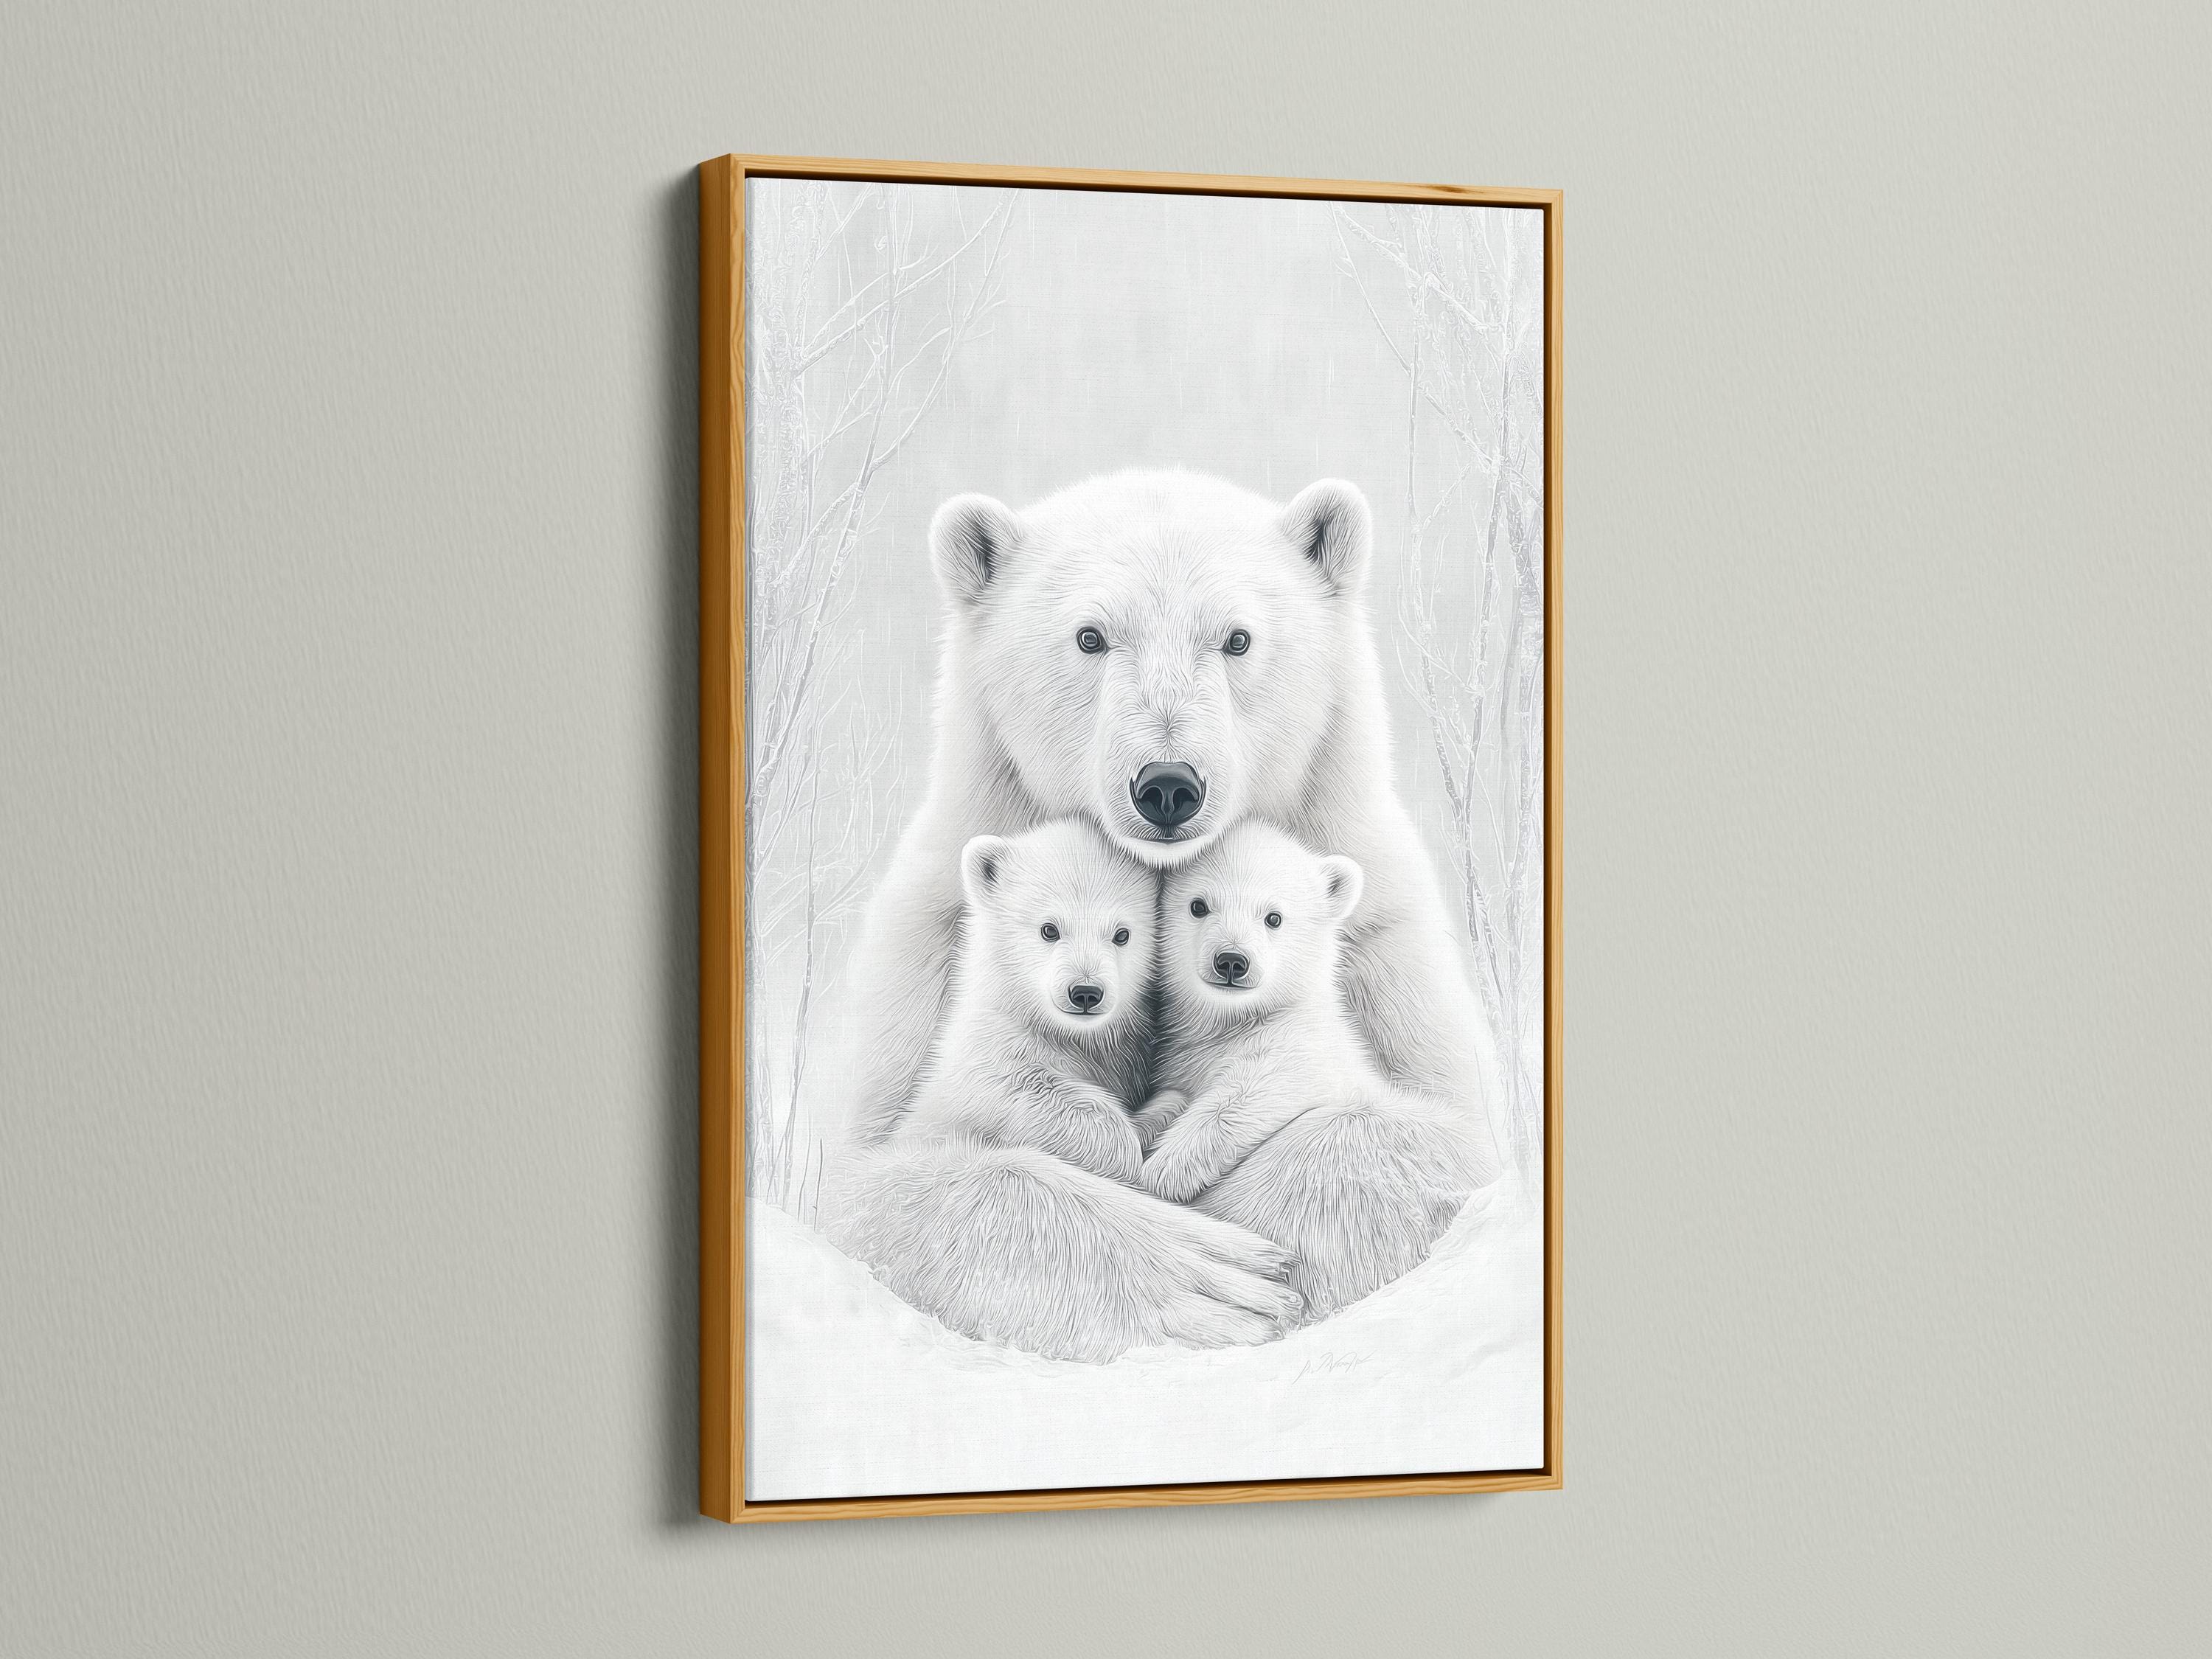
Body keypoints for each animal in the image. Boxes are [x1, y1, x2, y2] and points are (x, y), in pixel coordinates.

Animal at [900, 820, 1154, 1184]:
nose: (1086, 992)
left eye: (1122, 934)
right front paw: (1125, 1148)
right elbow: (1019, 1086)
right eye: (1049, 929)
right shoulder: (993, 1045)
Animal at [1138, 822, 1483, 1316]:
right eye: (1198, 905)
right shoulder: (1187, 1059)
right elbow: (1173, 1096)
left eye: (1274, 917)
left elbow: (1257, 1088)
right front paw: (1146, 1129)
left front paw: (1165, 1172)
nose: (1231, 961)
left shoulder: (1307, 1047)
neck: (1237, 1021)